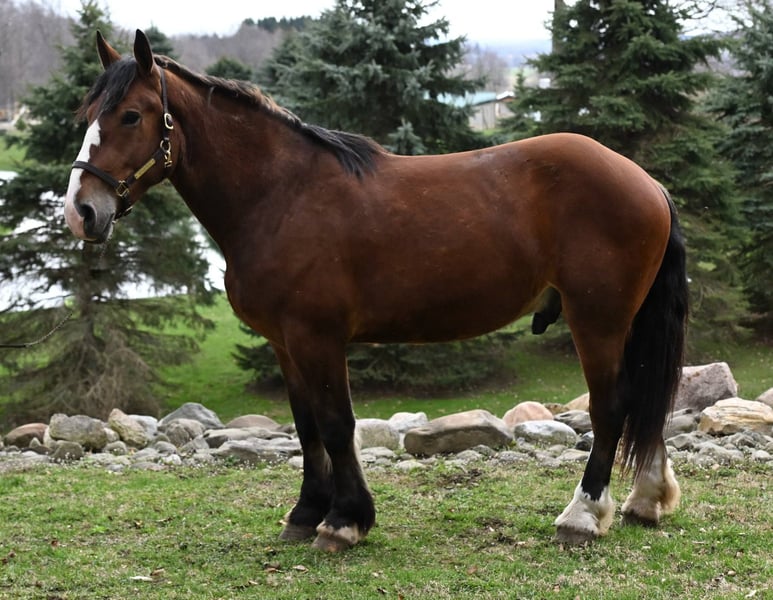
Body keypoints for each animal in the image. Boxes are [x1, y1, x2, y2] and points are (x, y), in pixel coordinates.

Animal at [64, 30, 688, 551]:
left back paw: (582, 515)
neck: (280, 195)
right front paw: (305, 513)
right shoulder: (284, 343)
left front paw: (343, 522)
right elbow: (307, 427)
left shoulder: (317, 338)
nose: (82, 212)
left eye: (131, 115)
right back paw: (645, 500)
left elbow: (337, 425)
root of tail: (645, 181)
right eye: (87, 114)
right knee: (646, 400)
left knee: (611, 406)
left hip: (597, 319)